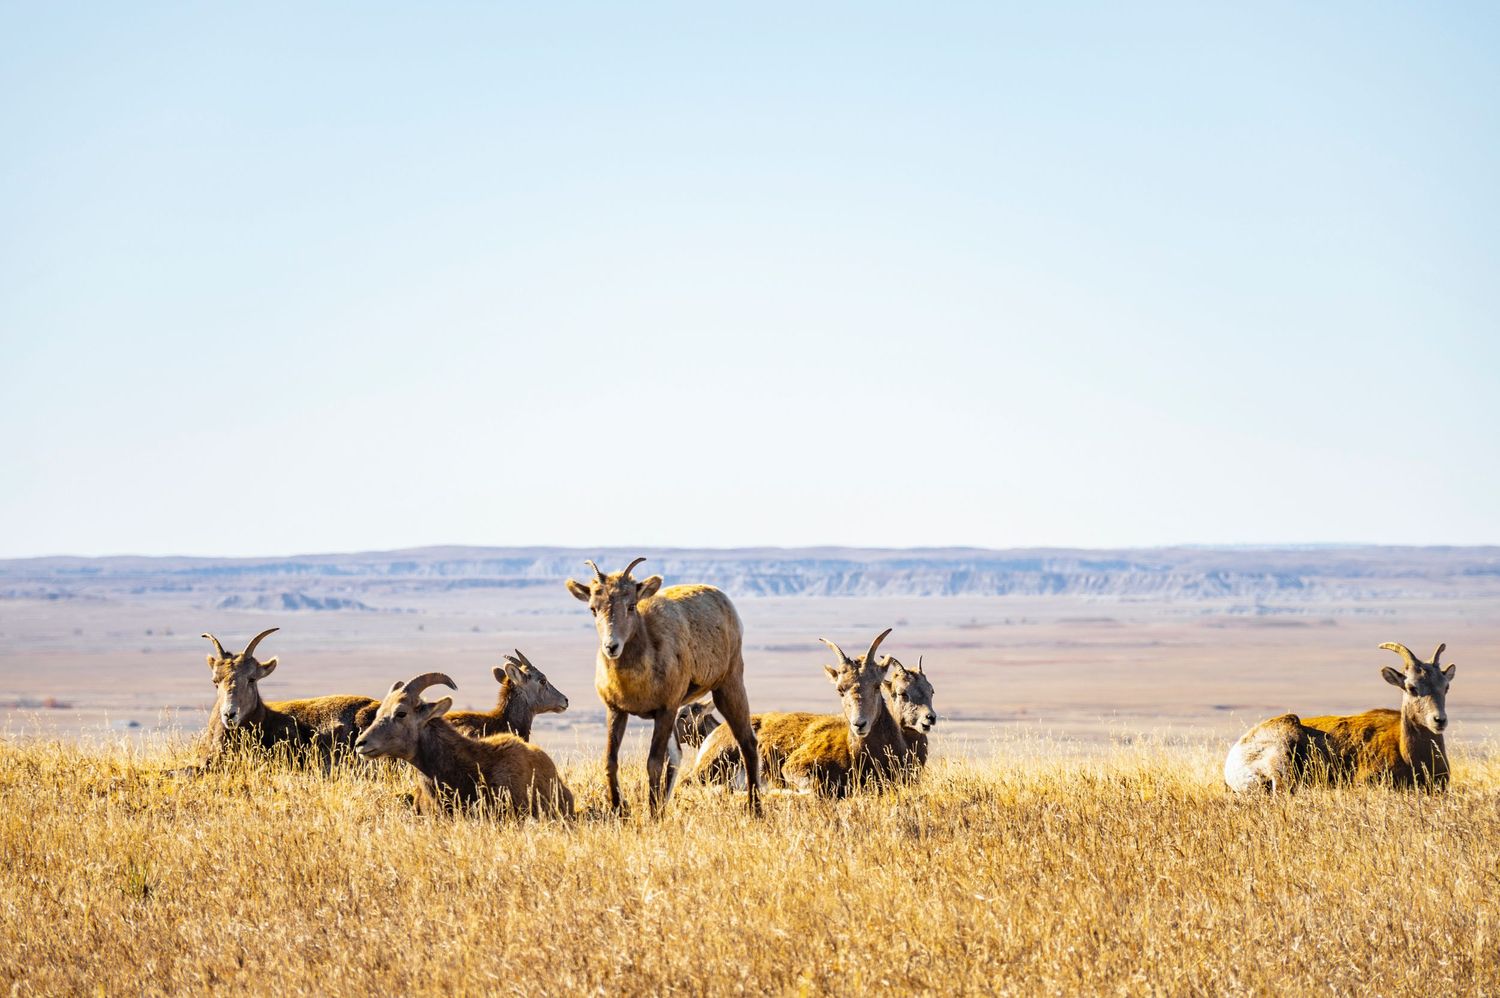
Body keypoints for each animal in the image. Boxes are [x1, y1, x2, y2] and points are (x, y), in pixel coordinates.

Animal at [566, 557, 761, 816]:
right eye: (593, 608)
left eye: (631, 605)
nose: (611, 646)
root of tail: (724, 601)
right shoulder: (616, 711)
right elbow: (611, 761)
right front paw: (621, 810)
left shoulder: (665, 711)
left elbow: (654, 764)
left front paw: (651, 815)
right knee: (677, 756)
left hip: (728, 686)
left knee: (747, 742)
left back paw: (756, 809)